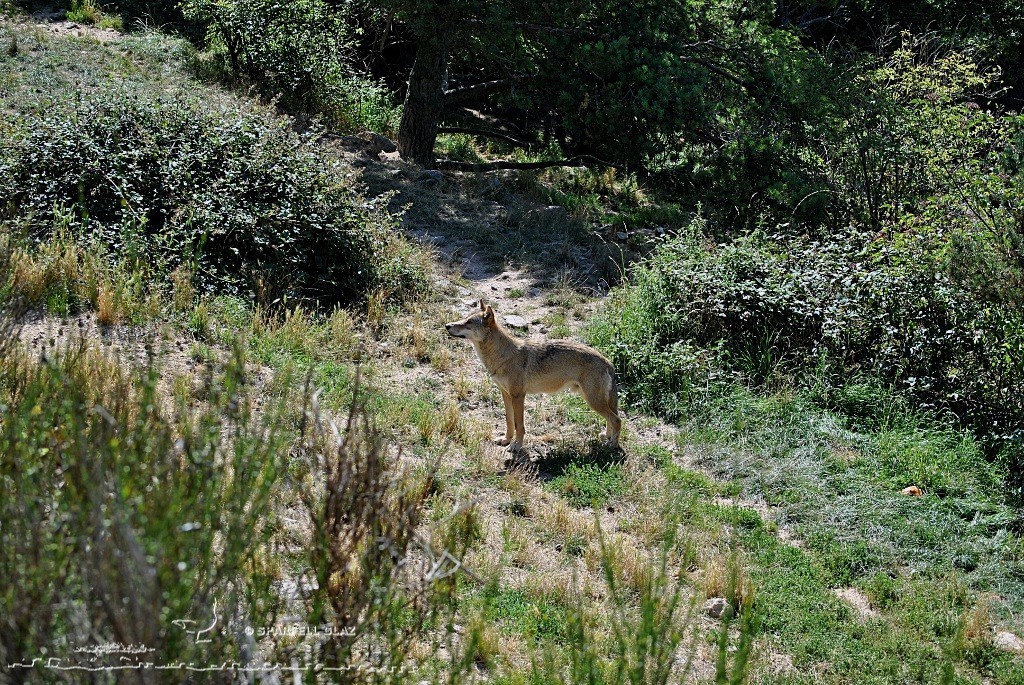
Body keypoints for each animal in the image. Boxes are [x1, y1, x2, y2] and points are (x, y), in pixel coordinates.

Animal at [445, 300, 621, 451]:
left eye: (468, 322)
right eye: (464, 318)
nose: (447, 325)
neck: (502, 356)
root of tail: (608, 362)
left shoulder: (518, 396)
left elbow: (520, 426)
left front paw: (516, 446)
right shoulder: (505, 394)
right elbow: (509, 421)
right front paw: (506, 440)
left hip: (593, 401)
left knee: (617, 420)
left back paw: (612, 446)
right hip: (592, 400)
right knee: (611, 419)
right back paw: (606, 436)